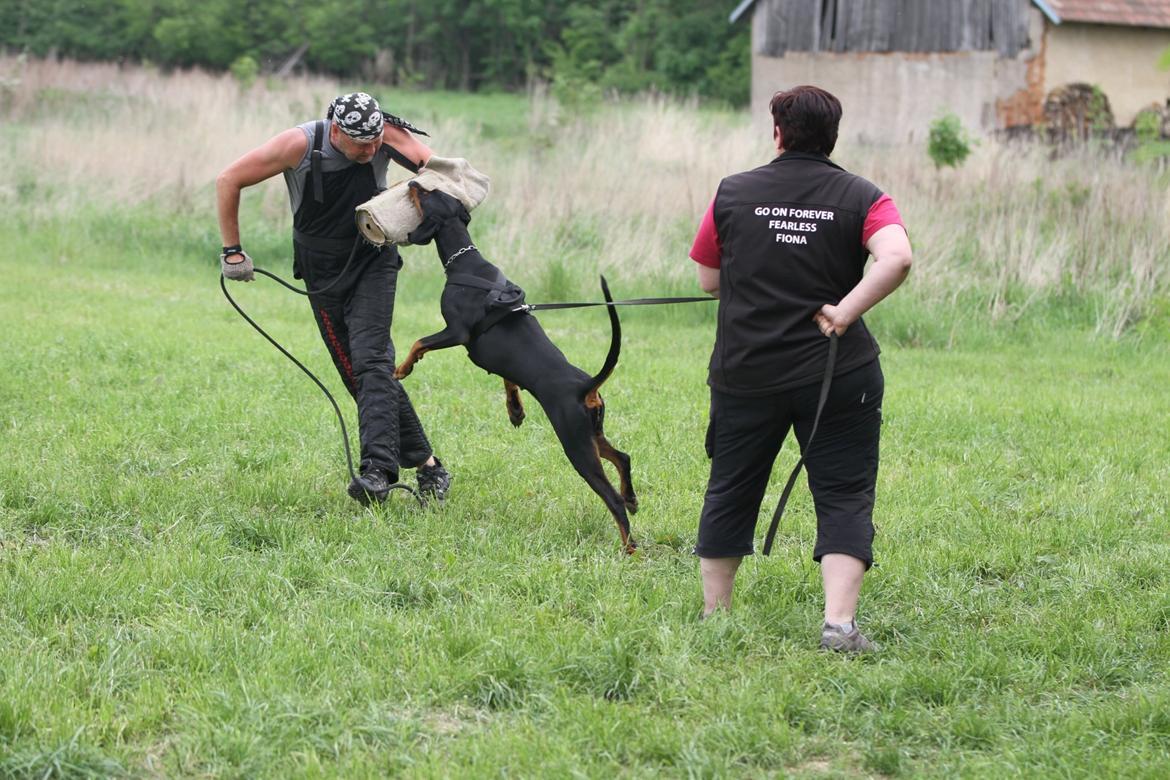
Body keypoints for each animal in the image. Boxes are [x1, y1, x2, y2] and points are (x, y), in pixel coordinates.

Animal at [397, 185, 641, 551]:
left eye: (427, 194)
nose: (413, 183)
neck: (465, 262)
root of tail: (586, 387)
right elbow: (508, 379)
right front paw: (515, 410)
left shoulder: (457, 332)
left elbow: (419, 342)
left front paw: (402, 368)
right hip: (592, 432)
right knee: (623, 457)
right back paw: (633, 499)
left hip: (576, 443)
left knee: (610, 497)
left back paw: (629, 548)